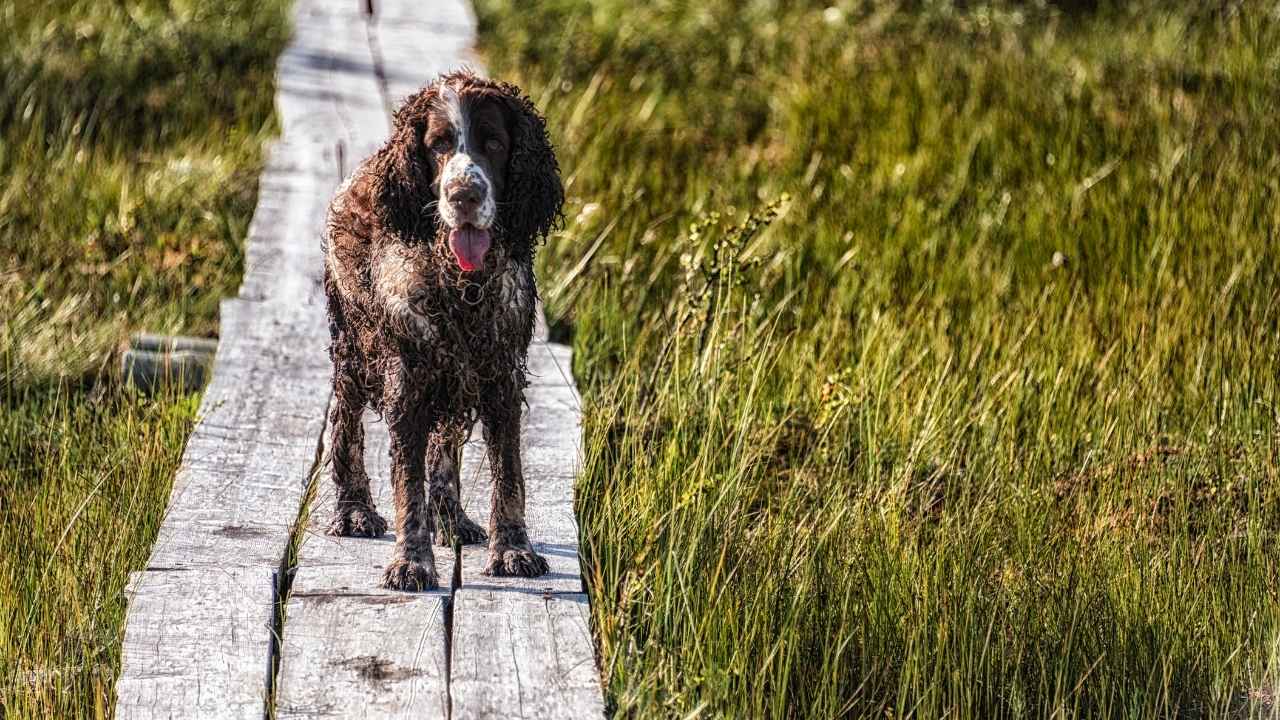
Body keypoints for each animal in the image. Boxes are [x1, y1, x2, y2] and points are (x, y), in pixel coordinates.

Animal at [318, 68, 560, 589]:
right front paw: (411, 561)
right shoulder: (407, 380)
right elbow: (407, 482)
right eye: (438, 145)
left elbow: (508, 474)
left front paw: (513, 549)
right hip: (354, 350)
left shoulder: (499, 376)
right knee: (345, 424)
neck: (462, 286)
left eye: (494, 143)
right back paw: (354, 511)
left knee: (442, 448)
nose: (463, 196)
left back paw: (453, 520)